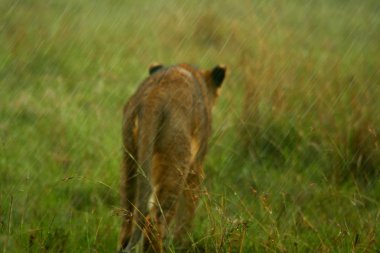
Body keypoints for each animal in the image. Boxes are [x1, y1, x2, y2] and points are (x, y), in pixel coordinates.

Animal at [119, 62, 226, 251]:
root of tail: (155, 95)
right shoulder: (196, 167)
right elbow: (189, 207)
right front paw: (182, 243)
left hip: (130, 157)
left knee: (128, 217)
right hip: (176, 163)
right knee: (154, 222)